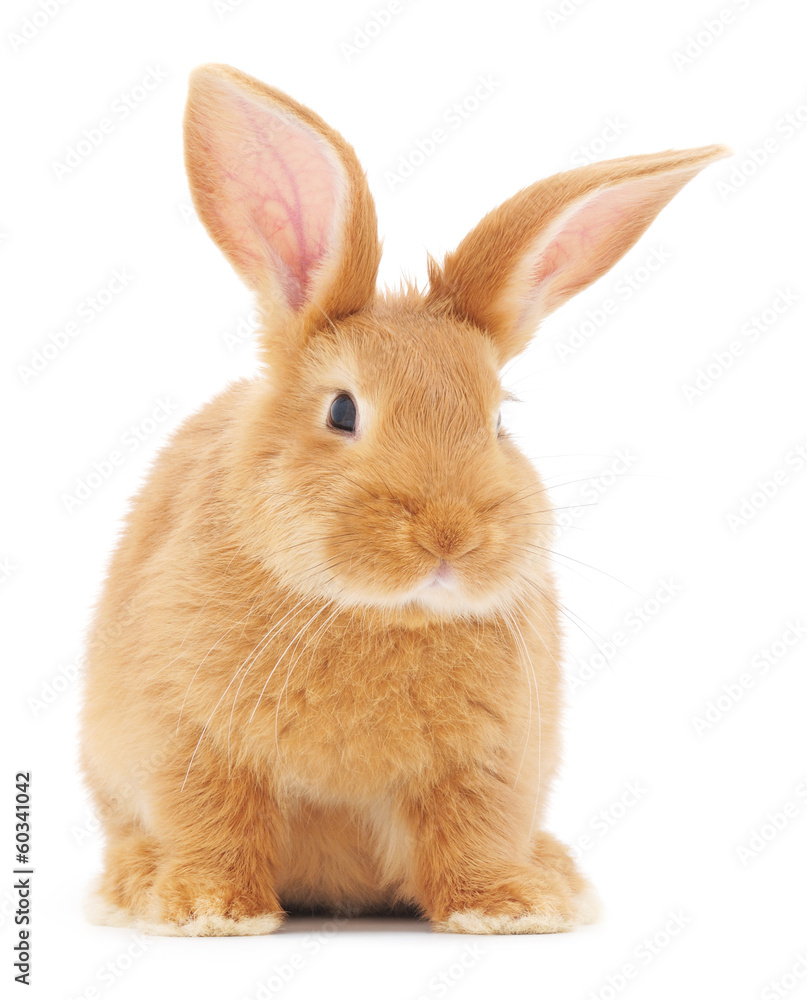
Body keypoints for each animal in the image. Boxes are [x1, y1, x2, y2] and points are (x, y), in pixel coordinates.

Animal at [79, 63, 729, 937]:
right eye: (341, 411)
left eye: (499, 420)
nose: (448, 535)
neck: (381, 614)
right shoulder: (189, 738)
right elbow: (212, 822)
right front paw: (207, 910)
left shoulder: (489, 762)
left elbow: (472, 834)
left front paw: (509, 909)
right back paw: (133, 883)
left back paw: (554, 874)